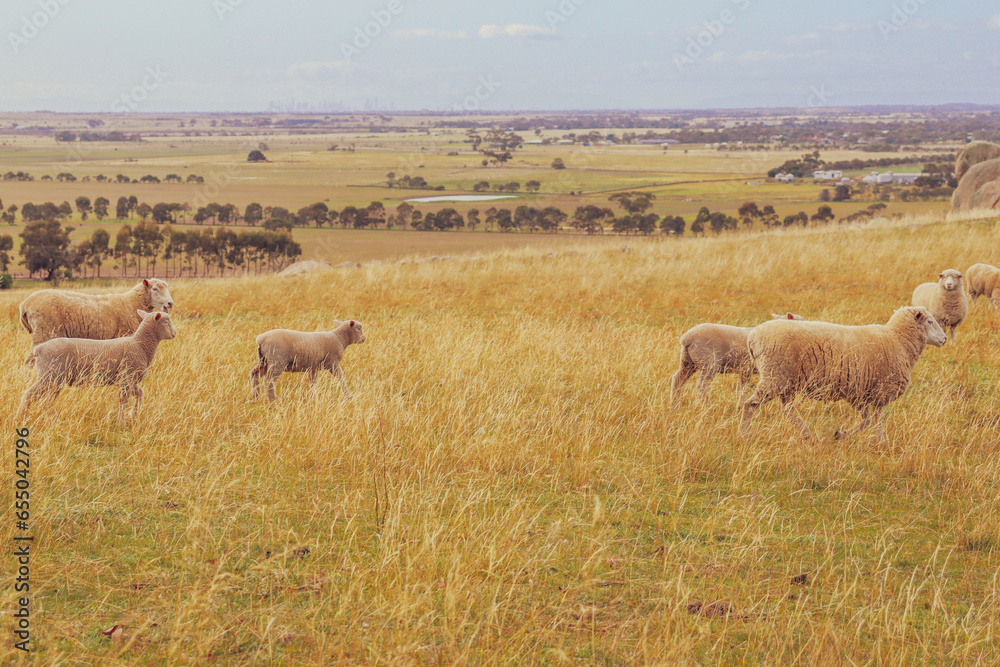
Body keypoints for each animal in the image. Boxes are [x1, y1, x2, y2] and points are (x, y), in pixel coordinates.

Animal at [19, 310, 177, 420]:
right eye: (166, 322)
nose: (175, 334)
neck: (140, 345)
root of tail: (38, 349)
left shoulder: (129, 380)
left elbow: (140, 394)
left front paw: (134, 415)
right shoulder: (126, 378)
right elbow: (123, 400)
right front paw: (121, 422)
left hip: (55, 380)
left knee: (46, 401)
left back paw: (51, 418)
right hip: (50, 376)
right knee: (31, 395)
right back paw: (22, 416)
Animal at [670, 312, 803, 408]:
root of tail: (686, 338)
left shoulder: (745, 369)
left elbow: (744, 388)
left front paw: (740, 406)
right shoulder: (746, 367)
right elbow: (744, 388)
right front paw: (741, 406)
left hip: (688, 361)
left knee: (677, 379)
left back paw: (675, 405)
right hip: (709, 363)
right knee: (702, 386)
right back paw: (707, 406)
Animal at [739, 306, 946, 443]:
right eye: (930, 321)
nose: (944, 339)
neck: (898, 339)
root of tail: (752, 337)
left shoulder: (861, 393)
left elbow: (867, 421)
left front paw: (841, 435)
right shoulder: (880, 390)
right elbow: (875, 420)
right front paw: (880, 442)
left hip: (785, 380)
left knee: (787, 410)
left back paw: (808, 435)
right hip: (775, 376)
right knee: (750, 404)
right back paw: (744, 435)